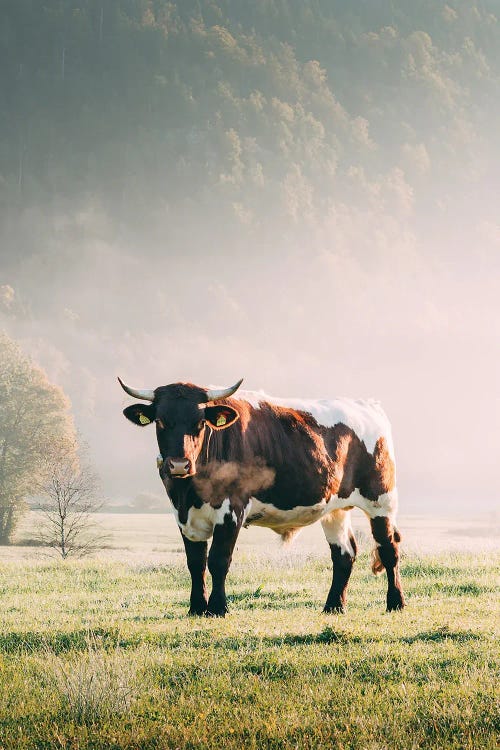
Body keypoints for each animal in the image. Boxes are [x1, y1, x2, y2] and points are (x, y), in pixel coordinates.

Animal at [119, 378, 404, 620]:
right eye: (160, 421)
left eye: (200, 423)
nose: (179, 464)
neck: (190, 491)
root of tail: (367, 405)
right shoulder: (183, 517)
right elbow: (195, 563)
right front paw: (196, 608)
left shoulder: (231, 510)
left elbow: (218, 560)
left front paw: (217, 608)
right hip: (335, 509)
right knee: (344, 554)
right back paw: (333, 606)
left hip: (381, 500)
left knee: (389, 549)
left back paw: (395, 602)